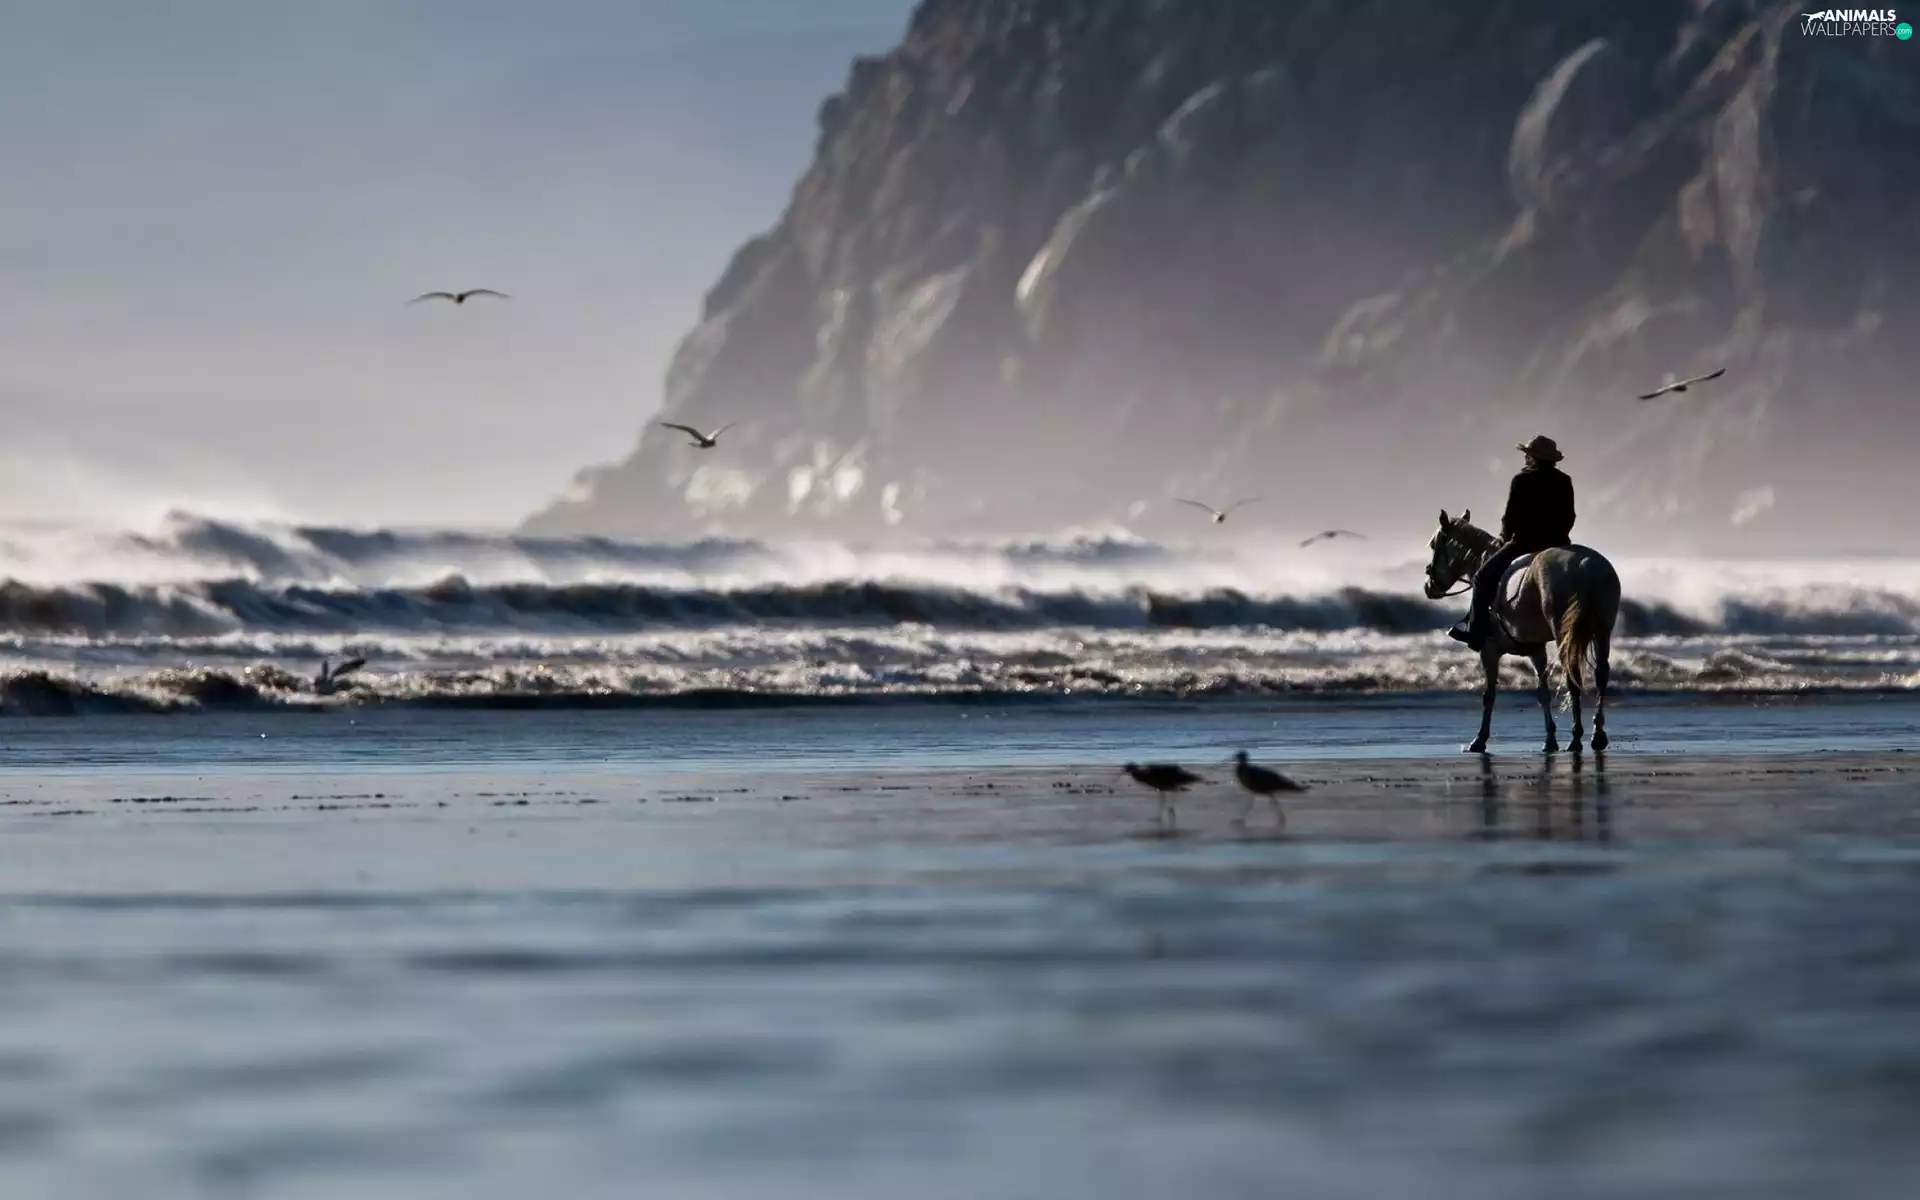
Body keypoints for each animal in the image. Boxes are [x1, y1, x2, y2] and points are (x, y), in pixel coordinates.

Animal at [1422, 509, 1621, 754]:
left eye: (1434, 545)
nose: (1429, 586)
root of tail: (1587, 567)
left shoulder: (1489, 649)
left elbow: (1489, 695)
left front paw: (1479, 739)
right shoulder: (1536, 650)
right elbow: (1542, 692)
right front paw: (1550, 739)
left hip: (1565, 633)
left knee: (1572, 676)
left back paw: (1576, 739)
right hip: (1603, 629)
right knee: (1601, 674)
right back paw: (1597, 734)